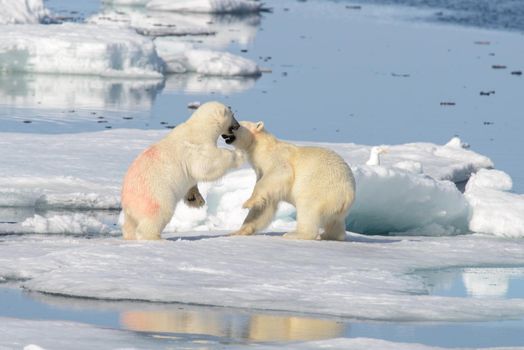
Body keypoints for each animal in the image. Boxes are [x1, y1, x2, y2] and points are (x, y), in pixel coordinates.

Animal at [122, 101, 245, 241]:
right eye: (233, 115)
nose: (238, 125)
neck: (200, 128)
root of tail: (127, 199)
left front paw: (196, 199)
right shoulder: (196, 147)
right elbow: (205, 166)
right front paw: (239, 154)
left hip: (132, 208)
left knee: (130, 223)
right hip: (157, 194)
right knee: (158, 214)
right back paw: (156, 238)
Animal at [225, 121, 356, 241]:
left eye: (237, 125)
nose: (225, 134)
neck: (262, 147)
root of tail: (348, 194)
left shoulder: (276, 159)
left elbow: (279, 174)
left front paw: (248, 202)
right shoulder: (261, 171)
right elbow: (265, 205)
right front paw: (237, 232)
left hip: (320, 189)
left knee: (307, 209)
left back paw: (294, 234)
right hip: (337, 206)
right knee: (335, 221)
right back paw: (328, 235)